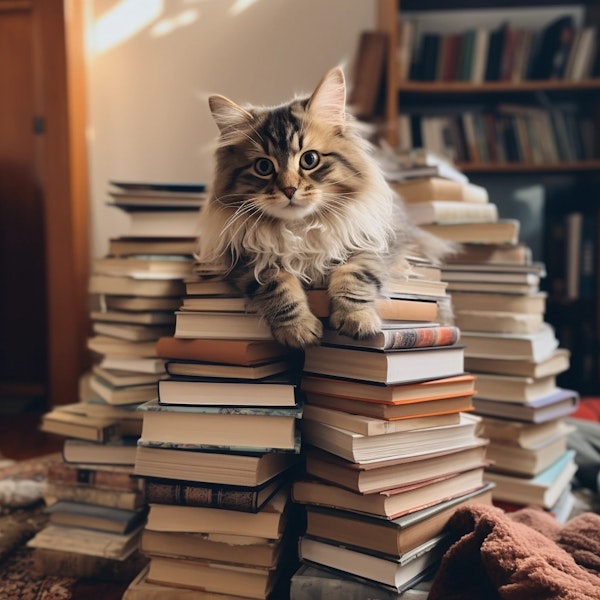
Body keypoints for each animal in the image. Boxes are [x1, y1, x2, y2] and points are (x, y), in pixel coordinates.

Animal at [195, 66, 452, 350]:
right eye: (263, 167)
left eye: (309, 159)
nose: (289, 190)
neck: (299, 228)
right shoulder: (247, 261)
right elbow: (279, 287)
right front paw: (299, 331)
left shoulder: (371, 245)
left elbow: (354, 275)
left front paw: (358, 320)